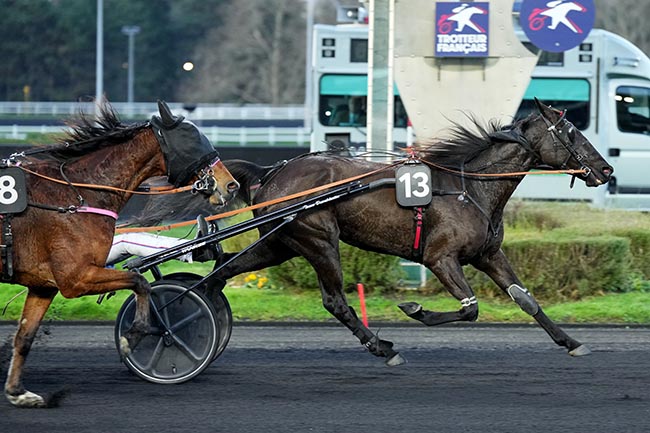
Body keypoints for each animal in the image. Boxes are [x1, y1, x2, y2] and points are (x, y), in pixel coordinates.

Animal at [0, 100, 238, 404]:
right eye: (193, 139)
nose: (231, 185)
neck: (75, 195)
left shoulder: (44, 285)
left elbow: (24, 337)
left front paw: (17, 392)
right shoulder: (75, 279)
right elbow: (140, 282)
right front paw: (134, 336)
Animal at [214, 100, 612, 364]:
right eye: (572, 133)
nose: (606, 169)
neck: (469, 189)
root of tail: (272, 172)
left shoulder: (487, 254)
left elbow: (526, 299)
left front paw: (571, 341)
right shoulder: (441, 258)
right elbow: (470, 308)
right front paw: (415, 308)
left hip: (280, 243)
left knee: (225, 269)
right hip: (318, 240)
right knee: (335, 301)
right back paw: (381, 347)